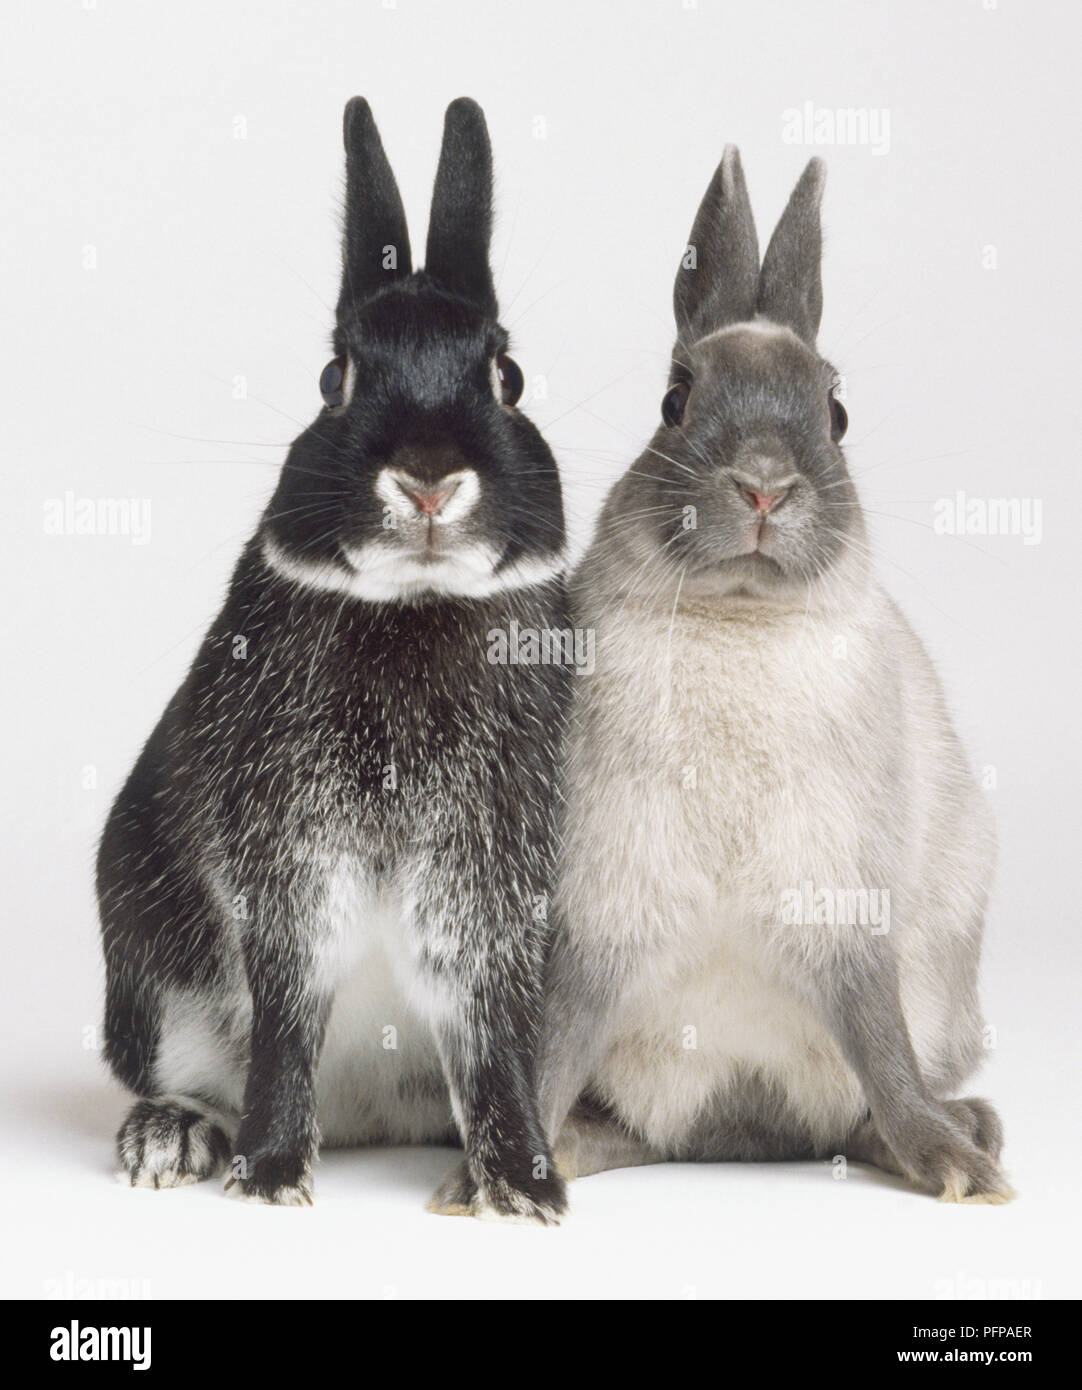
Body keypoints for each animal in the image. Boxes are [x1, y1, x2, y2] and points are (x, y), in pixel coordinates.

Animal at [96, 97, 570, 1223]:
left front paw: (527, 1188)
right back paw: (170, 1140)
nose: (430, 477)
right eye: (333, 378)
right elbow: (287, 1005)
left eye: (508, 376)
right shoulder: (285, 862)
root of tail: (363, 1115)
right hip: (151, 974)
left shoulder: (490, 875)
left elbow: (488, 1026)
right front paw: (268, 1177)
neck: (413, 601)